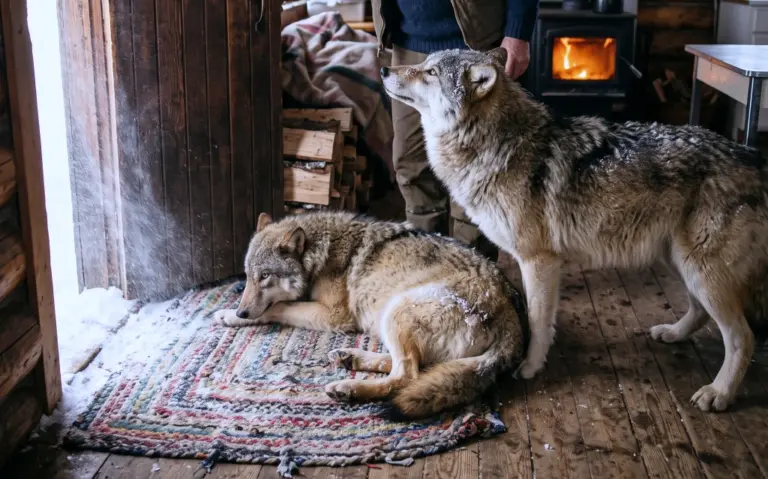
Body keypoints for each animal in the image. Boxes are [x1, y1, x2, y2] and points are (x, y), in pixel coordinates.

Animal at [214, 211, 526, 418]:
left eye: (265, 276)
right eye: (248, 275)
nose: (242, 310)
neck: (320, 254)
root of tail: (512, 316)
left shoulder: (335, 316)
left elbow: (278, 308)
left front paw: (233, 316)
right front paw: (229, 312)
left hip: (396, 310)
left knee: (407, 376)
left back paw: (348, 388)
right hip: (393, 319)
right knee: (415, 367)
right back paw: (350, 357)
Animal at [381, 48, 768, 412]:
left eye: (431, 73)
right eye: (424, 65)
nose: (384, 68)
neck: (498, 145)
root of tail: (751, 153)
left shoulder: (538, 261)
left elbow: (537, 321)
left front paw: (530, 366)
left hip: (701, 272)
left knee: (742, 338)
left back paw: (719, 393)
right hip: (679, 261)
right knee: (700, 313)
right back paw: (673, 334)